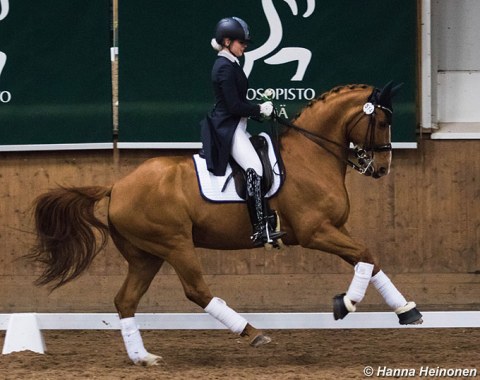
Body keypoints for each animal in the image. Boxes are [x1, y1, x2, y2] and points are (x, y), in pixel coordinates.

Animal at [28, 82, 422, 366]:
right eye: (382, 122)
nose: (381, 169)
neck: (311, 157)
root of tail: (117, 186)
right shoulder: (316, 232)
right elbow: (365, 256)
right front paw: (346, 304)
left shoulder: (334, 230)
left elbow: (369, 259)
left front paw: (407, 311)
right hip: (175, 244)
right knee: (197, 291)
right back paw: (252, 332)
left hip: (146, 255)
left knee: (125, 300)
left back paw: (143, 357)